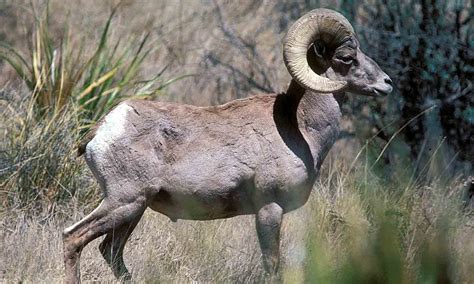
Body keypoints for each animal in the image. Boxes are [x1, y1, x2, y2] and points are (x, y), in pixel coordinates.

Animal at [65, 8, 394, 282]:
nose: (387, 83)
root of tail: (103, 129)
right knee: (73, 238)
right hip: (124, 202)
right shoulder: (269, 209)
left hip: (133, 210)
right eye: (347, 58)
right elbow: (271, 265)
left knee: (111, 252)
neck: (299, 125)